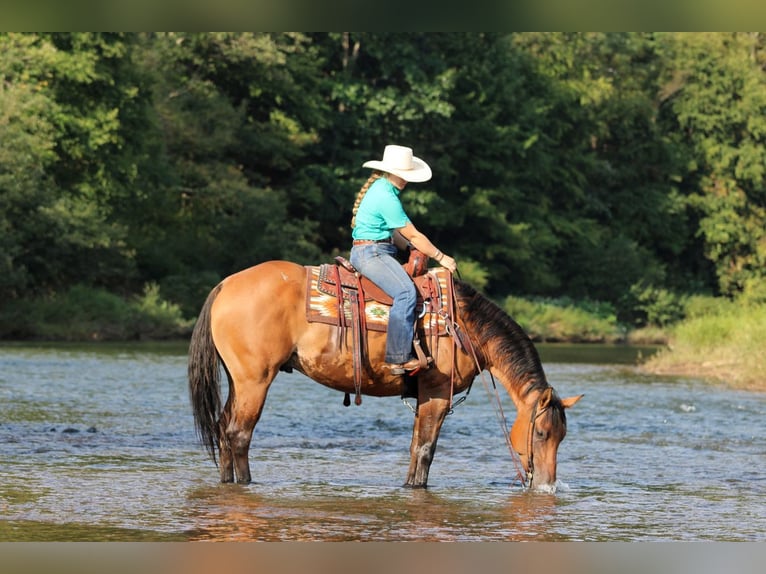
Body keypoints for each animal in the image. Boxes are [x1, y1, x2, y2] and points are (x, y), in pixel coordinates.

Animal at [188, 260, 583, 489]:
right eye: (542, 432)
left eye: (562, 436)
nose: (547, 487)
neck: (464, 325)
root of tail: (225, 285)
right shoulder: (436, 393)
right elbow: (425, 450)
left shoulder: (426, 396)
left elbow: (415, 447)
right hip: (256, 381)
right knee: (239, 435)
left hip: (239, 382)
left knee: (223, 430)